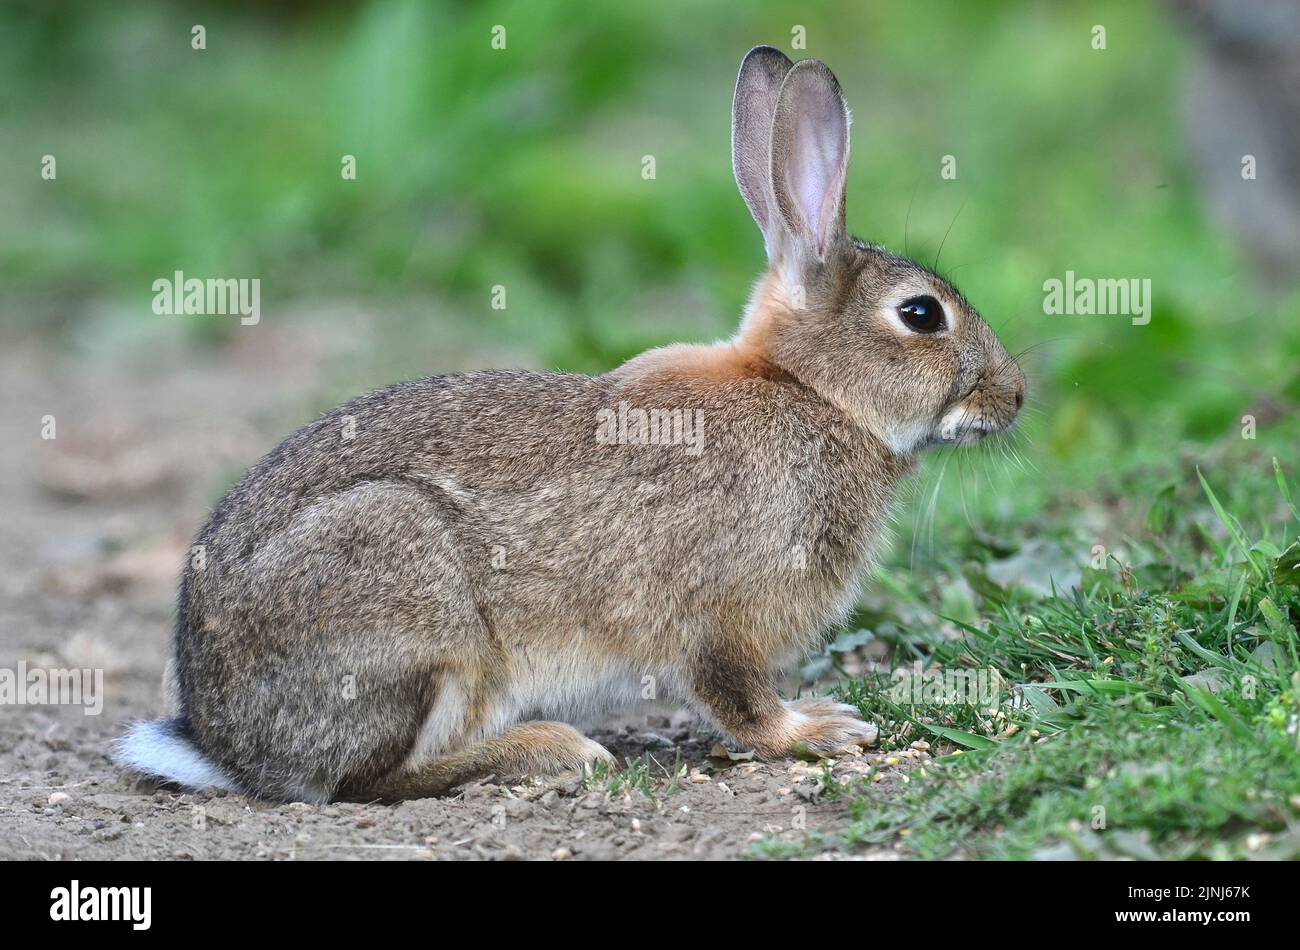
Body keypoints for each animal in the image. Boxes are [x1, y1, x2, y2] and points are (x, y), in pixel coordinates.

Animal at [114, 44, 1024, 800]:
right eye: (921, 315)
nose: (1015, 396)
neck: (813, 392)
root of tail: (228, 744)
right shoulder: (719, 617)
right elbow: (739, 698)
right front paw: (818, 731)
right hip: (412, 607)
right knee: (367, 781)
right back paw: (548, 750)